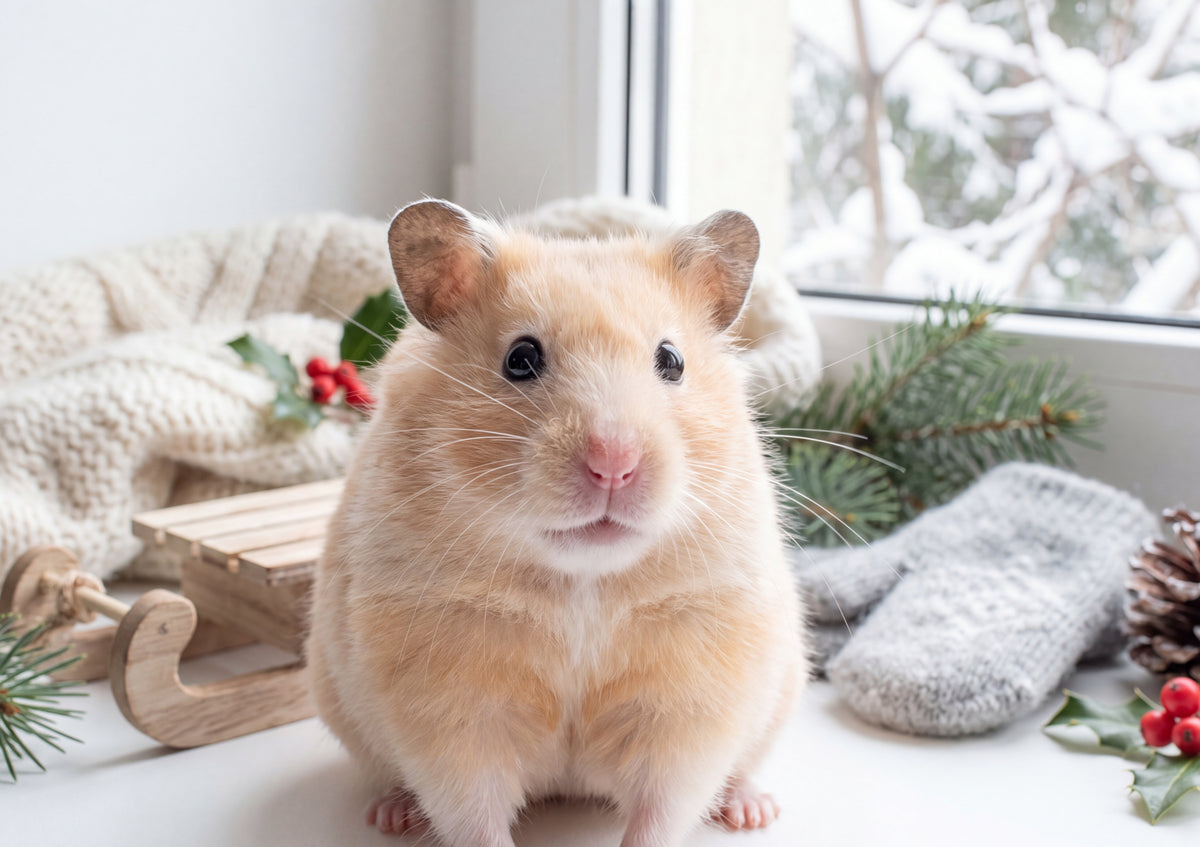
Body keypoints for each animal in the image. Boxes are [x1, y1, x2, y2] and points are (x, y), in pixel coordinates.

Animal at [306, 199, 807, 847]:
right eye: (520, 359)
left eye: (671, 362)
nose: (614, 464)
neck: (581, 578)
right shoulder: (451, 710)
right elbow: (474, 814)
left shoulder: (688, 702)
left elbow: (663, 809)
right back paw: (392, 816)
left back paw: (751, 811)